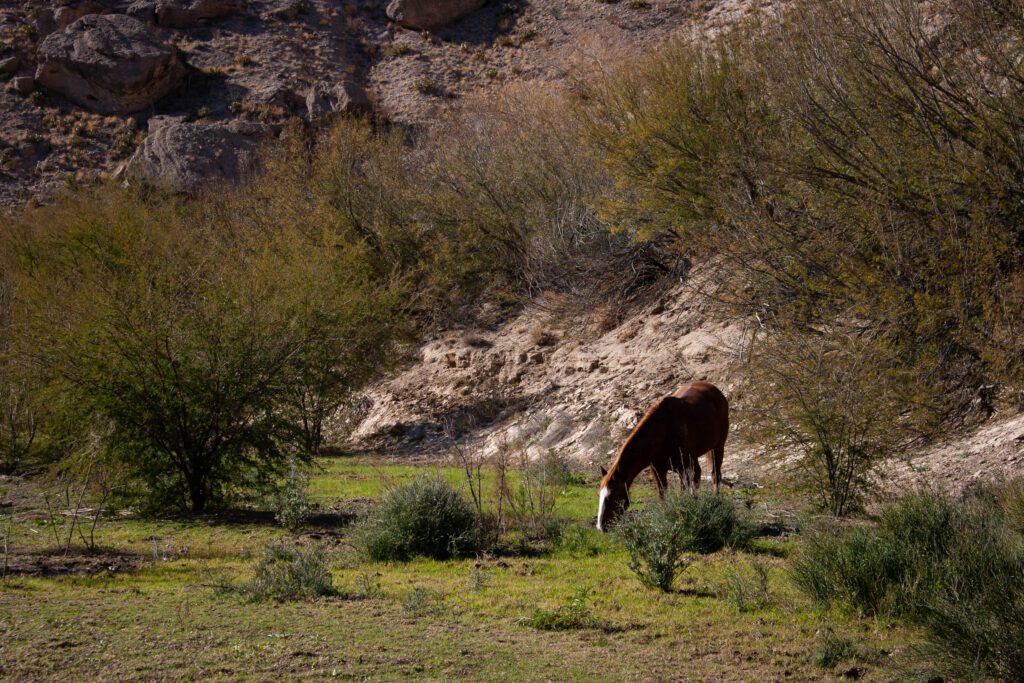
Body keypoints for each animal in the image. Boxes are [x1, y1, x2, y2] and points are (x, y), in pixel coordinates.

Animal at [593, 382, 729, 532]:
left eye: (612, 496)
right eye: (599, 495)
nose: (601, 526)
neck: (664, 431)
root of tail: (714, 389)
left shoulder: (687, 468)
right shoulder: (658, 471)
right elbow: (663, 495)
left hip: (718, 447)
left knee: (715, 475)